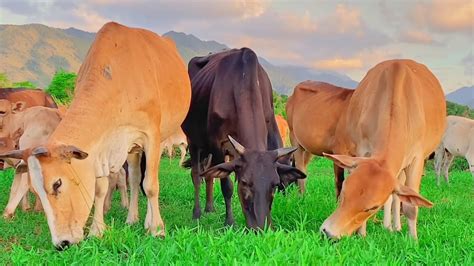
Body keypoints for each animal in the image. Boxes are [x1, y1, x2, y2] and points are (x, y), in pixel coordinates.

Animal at [0, 22, 192, 249]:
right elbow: (101, 188)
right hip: (132, 148)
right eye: (36, 191)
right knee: (134, 178)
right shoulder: (101, 149)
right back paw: (132, 218)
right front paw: (97, 230)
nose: (62, 243)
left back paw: (148, 221)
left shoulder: (150, 135)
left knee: (147, 179)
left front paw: (157, 229)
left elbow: (151, 185)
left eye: (57, 184)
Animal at [181, 47, 308, 229]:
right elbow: (226, 185)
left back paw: (210, 208)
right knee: (197, 175)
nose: (261, 228)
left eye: (275, 185)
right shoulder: (217, 145)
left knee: (209, 175)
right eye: (244, 183)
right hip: (194, 141)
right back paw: (197, 213)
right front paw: (229, 222)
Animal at [316, 59, 446, 239]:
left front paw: (413, 240)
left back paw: (396, 226)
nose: (329, 233)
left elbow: (410, 206)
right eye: (344, 192)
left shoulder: (417, 159)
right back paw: (388, 226)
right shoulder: (362, 150)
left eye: (372, 207)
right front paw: (362, 235)